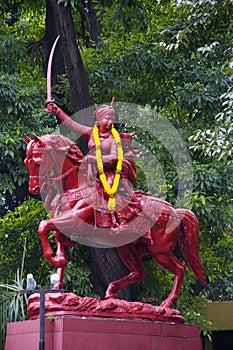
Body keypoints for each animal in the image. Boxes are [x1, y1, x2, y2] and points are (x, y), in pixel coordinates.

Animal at [24, 133, 206, 308]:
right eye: (27, 161)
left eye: (38, 162)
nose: (34, 189)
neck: (74, 188)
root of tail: (175, 212)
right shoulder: (64, 232)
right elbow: (59, 253)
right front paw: (57, 289)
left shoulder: (75, 222)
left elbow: (43, 226)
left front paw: (52, 259)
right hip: (128, 248)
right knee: (139, 272)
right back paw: (111, 293)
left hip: (160, 251)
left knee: (180, 269)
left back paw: (166, 303)